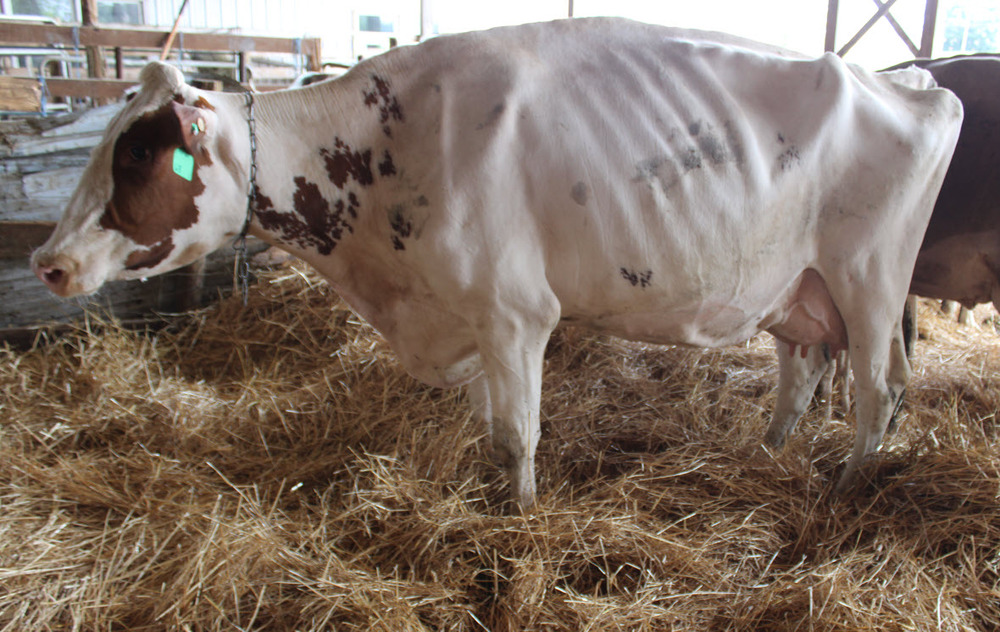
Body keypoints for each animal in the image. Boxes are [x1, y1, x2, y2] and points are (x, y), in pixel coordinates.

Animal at [30, 18, 963, 507]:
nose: (48, 262)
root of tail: (914, 87)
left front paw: (518, 517)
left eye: (140, 152)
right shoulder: (468, 318)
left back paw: (848, 486)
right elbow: (489, 431)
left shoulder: (515, 314)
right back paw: (767, 456)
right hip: (797, 291)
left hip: (872, 282)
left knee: (881, 391)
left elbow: (518, 436)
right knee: (802, 372)